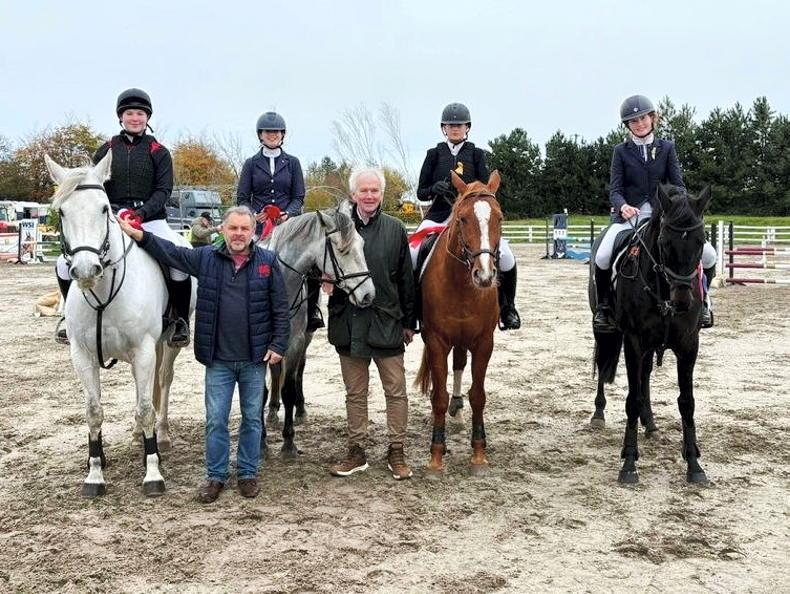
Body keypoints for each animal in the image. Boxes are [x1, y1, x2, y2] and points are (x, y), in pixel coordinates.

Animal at [45, 153, 195, 498]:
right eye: (62, 211)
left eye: (104, 208)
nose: (86, 269)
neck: (103, 292)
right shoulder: (82, 355)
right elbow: (94, 411)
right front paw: (95, 473)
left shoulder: (144, 350)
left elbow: (146, 407)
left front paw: (152, 473)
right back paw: (137, 435)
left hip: (166, 344)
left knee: (162, 381)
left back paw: (161, 436)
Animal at [260, 207, 375, 458]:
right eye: (342, 250)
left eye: (362, 244)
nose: (368, 295)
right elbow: (259, 391)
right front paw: (261, 442)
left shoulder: (294, 342)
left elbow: (289, 389)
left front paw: (288, 443)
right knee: (275, 371)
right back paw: (272, 411)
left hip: (306, 339)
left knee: (298, 373)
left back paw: (299, 410)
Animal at [415, 170, 502, 475]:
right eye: (462, 218)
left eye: (500, 217)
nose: (484, 276)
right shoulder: (436, 340)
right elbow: (438, 396)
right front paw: (436, 457)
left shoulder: (484, 342)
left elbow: (478, 395)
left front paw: (479, 454)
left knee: (459, 365)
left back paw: (458, 411)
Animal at [589, 184, 711, 484]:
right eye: (665, 243)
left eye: (701, 241)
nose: (683, 302)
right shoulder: (633, 341)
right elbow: (631, 400)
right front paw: (629, 464)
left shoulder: (689, 344)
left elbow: (687, 402)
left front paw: (694, 465)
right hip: (606, 330)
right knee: (604, 365)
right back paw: (599, 413)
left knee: (644, 376)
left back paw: (651, 424)